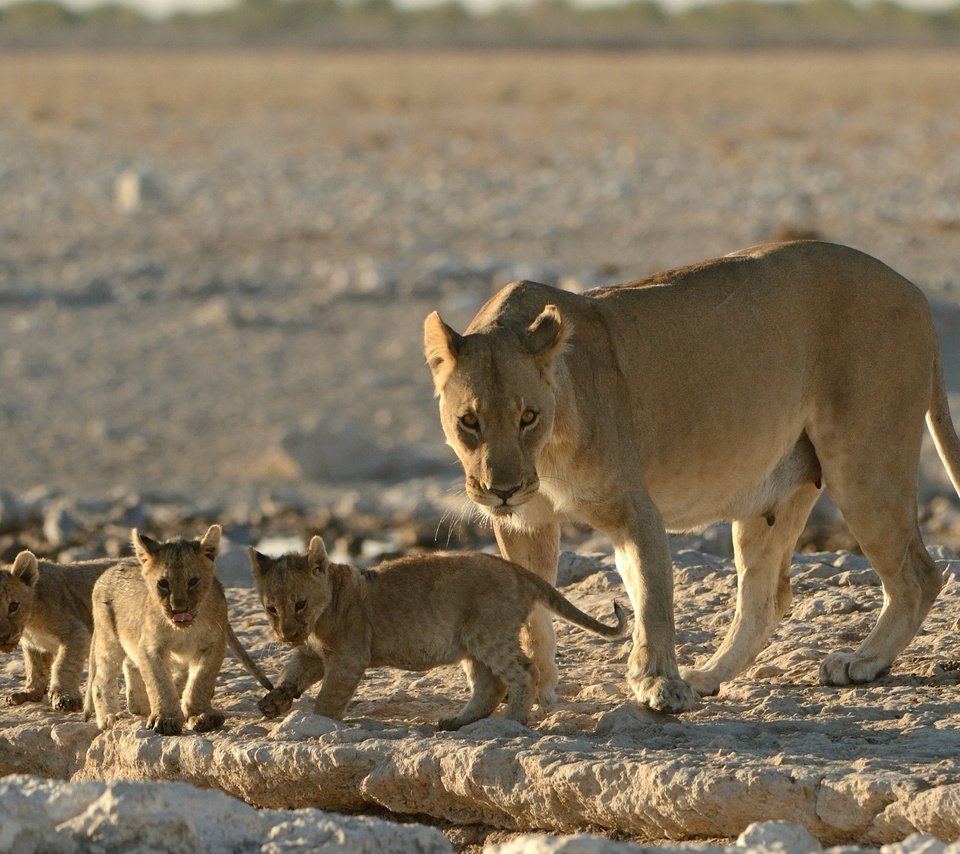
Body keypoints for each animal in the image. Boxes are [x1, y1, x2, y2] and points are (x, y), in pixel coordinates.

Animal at [424, 241, 960, 716]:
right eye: (469, 421)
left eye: (528, 417)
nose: (503, 490)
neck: (546, 454)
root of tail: (914, 292)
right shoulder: (525, 523)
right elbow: (534, 608)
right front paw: (533, 683)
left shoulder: (636, 508)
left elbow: (653, 599)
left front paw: (660, 685)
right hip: (774, 493)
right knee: (767, 598)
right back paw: (709, 675)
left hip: (863, 460)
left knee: (918, 574)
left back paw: (863, 661)